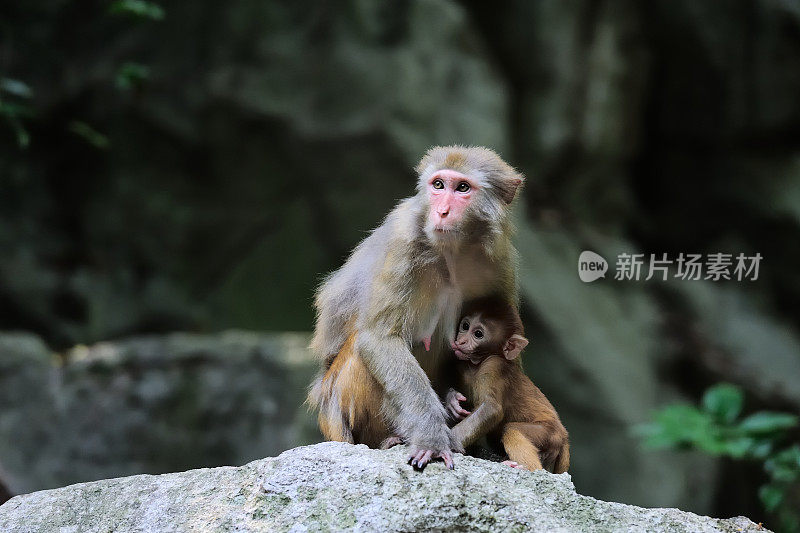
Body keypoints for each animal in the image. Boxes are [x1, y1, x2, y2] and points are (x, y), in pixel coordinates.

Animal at [450, 296, 568, 474]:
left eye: (478, 334)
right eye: (465, 326)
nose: (461, 341)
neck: (477, 363)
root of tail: (564, 435)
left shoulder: (494, 366)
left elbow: (491, 408)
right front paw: (452, 400)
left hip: (550, 434)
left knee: (512, 430)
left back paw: (524, 467)